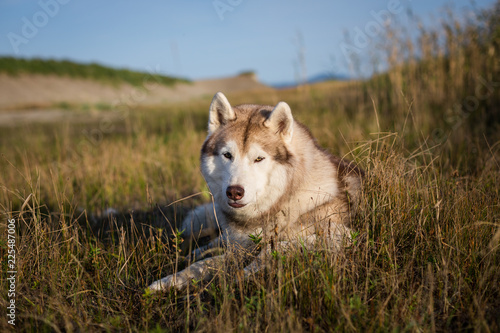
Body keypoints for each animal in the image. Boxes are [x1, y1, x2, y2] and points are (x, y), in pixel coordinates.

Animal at [148, 91, 364, 290]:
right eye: (228, 155)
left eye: (259, 158)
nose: (234, 192)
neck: (284, 199)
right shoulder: (238, 246)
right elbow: (204, 263)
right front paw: (167, 281)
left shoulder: (343, 236)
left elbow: (274, 249)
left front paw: (242, 275)